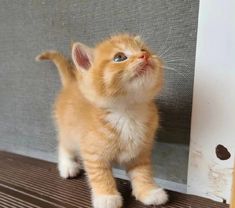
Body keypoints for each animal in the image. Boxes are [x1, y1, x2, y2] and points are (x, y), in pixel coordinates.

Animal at [36, 34, 167, 208]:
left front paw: (149, 191)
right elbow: (100, 175)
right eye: (119, 57)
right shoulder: (93, 153)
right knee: (63, 145)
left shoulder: (140, 151)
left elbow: (142, 172)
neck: (127, 111)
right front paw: (107, 197)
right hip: (68, 131)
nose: (144, 56)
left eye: (144, 49)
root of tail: (72, 82)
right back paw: (67, 166)